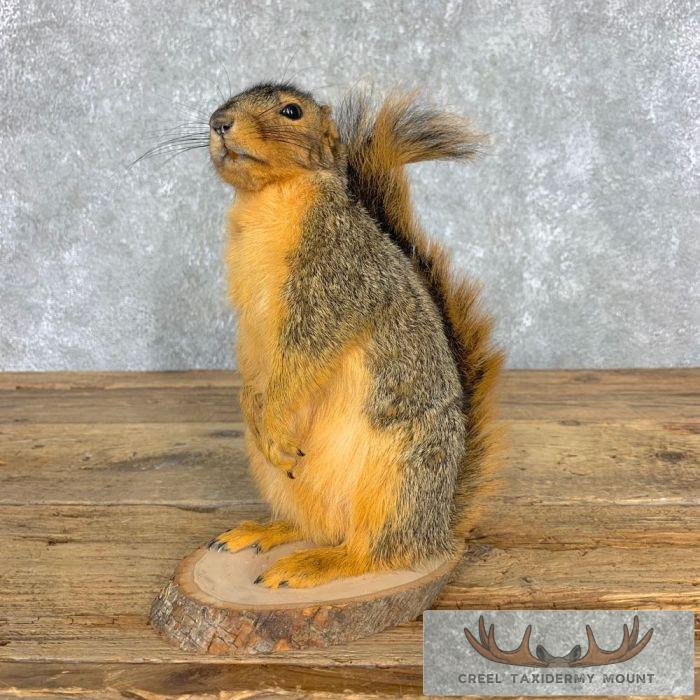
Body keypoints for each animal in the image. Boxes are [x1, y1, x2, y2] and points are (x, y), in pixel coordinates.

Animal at [206, 82, 503, 588]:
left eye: (292, 112)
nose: (219, 123)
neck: (268, 198)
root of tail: (438, 527)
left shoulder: (337, 279)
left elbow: (308, 350)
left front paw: (274, 411)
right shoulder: (246, 314)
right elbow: (250, 356)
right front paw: (251, 403)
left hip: (398, 481)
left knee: (375, 552)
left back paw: (318, 563)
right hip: (281, 478)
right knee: (316, 526)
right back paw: (267, 530)